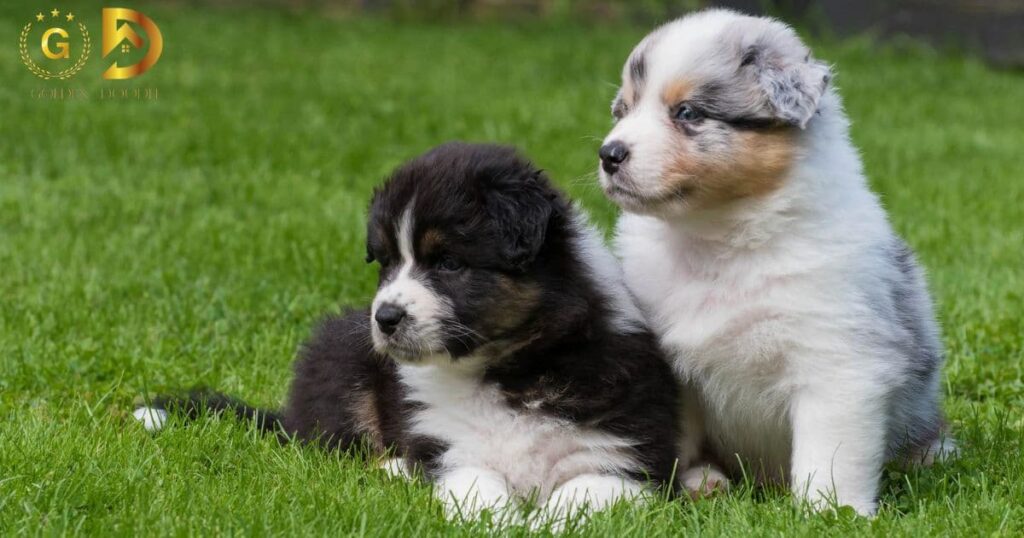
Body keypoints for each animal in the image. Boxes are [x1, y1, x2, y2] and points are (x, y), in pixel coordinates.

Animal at [136, 142, 679, 524]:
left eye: (449, 263)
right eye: (386, 263)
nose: (386, 317)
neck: (506, 371)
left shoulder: (626, 457)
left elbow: (581, 495)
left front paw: (546, 522)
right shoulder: (448, 447)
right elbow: (479, 489)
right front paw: (504, 521)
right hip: (340, 362)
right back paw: (394, 468)